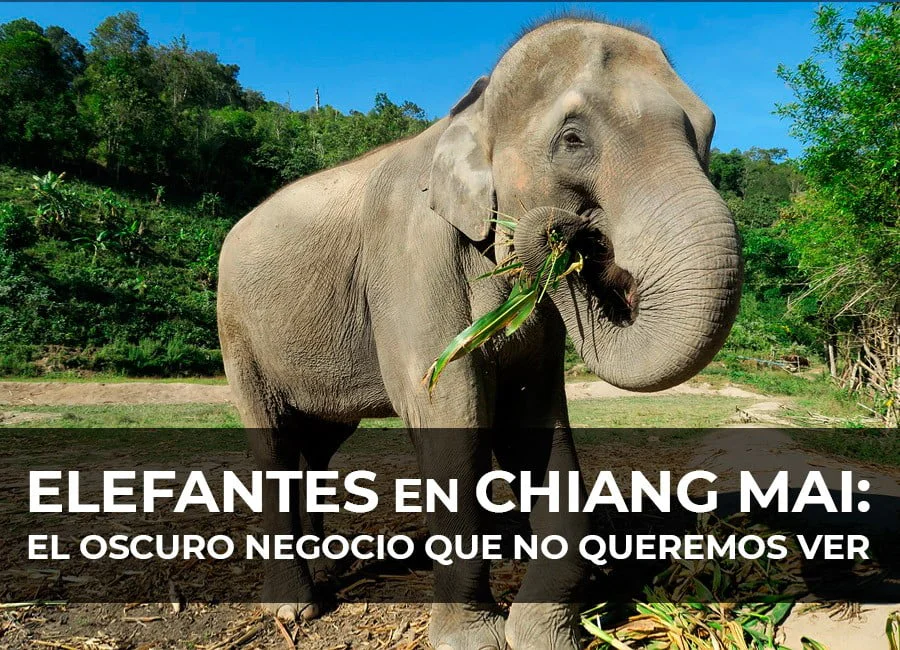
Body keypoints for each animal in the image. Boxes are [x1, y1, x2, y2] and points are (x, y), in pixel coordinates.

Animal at [217, 15, 742, 650]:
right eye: (572, 140)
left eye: (708, 130)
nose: (563, 233)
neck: (473, 109)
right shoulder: (411, 258)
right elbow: (452, 411)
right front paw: (475, 638)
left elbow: (532, 424)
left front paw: (542, 635)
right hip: (236, 329)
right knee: (271, 439)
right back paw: (295, 609)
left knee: (315, 444)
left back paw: (324, 566)